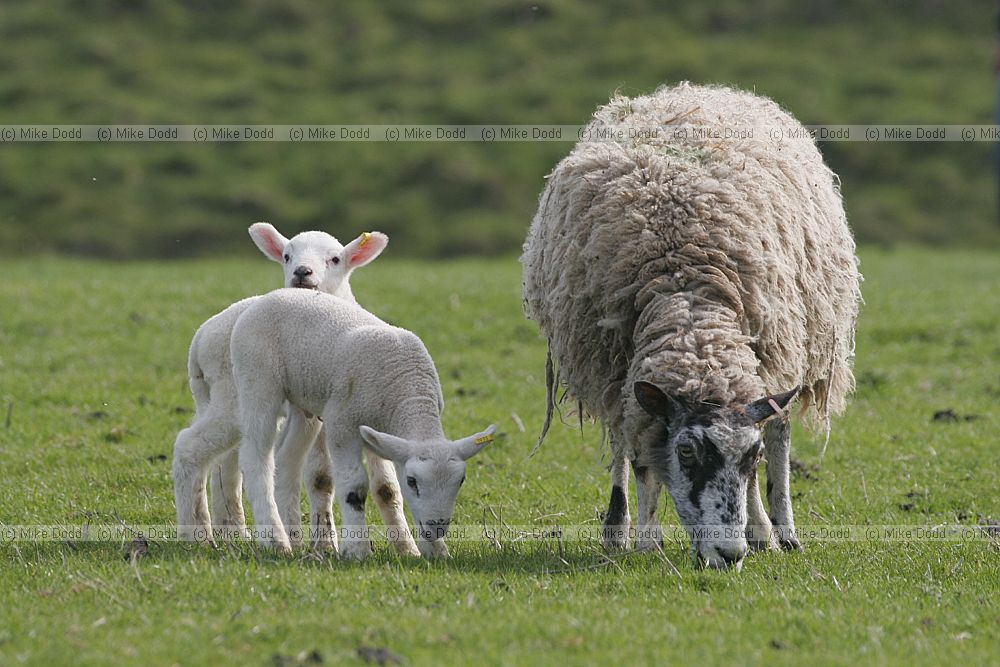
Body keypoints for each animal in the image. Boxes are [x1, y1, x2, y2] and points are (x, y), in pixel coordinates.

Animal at [172, 224, 420, 555]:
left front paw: (407, 548)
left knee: (225, 464)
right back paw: (208, 533)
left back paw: (231, 531)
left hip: (216, 399)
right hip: (236, 396)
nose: (302, 272)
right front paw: (325, 544)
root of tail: (200, 339)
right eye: (287, 256)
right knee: (212, 452)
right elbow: (321, 479)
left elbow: (386, 487)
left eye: (335, 258)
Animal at [230, 287, 496, 556]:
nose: (437, 527)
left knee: (287, 459)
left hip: (302, 402)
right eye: (413, 481)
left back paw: (294, 538)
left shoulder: (391, 439)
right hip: (258, 380)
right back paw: (275, 540)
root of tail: (267, 297)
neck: (410, 391)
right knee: (255, 458)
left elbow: (389, 489)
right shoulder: (342, 422)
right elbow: (354, 486)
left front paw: (432, 551)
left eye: (460, 481)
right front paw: (357, 549)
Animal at [521, 82, 862, 570]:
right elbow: (640, 459)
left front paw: (761, 532)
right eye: (686, 452)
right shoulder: (619, 373)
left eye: (751, 455)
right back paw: (617, 527)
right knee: (622, 446)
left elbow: (764, 456)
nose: (728, 553)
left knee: (780, 433)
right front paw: (645, 538)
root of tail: (695, 91)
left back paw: (782, 530)